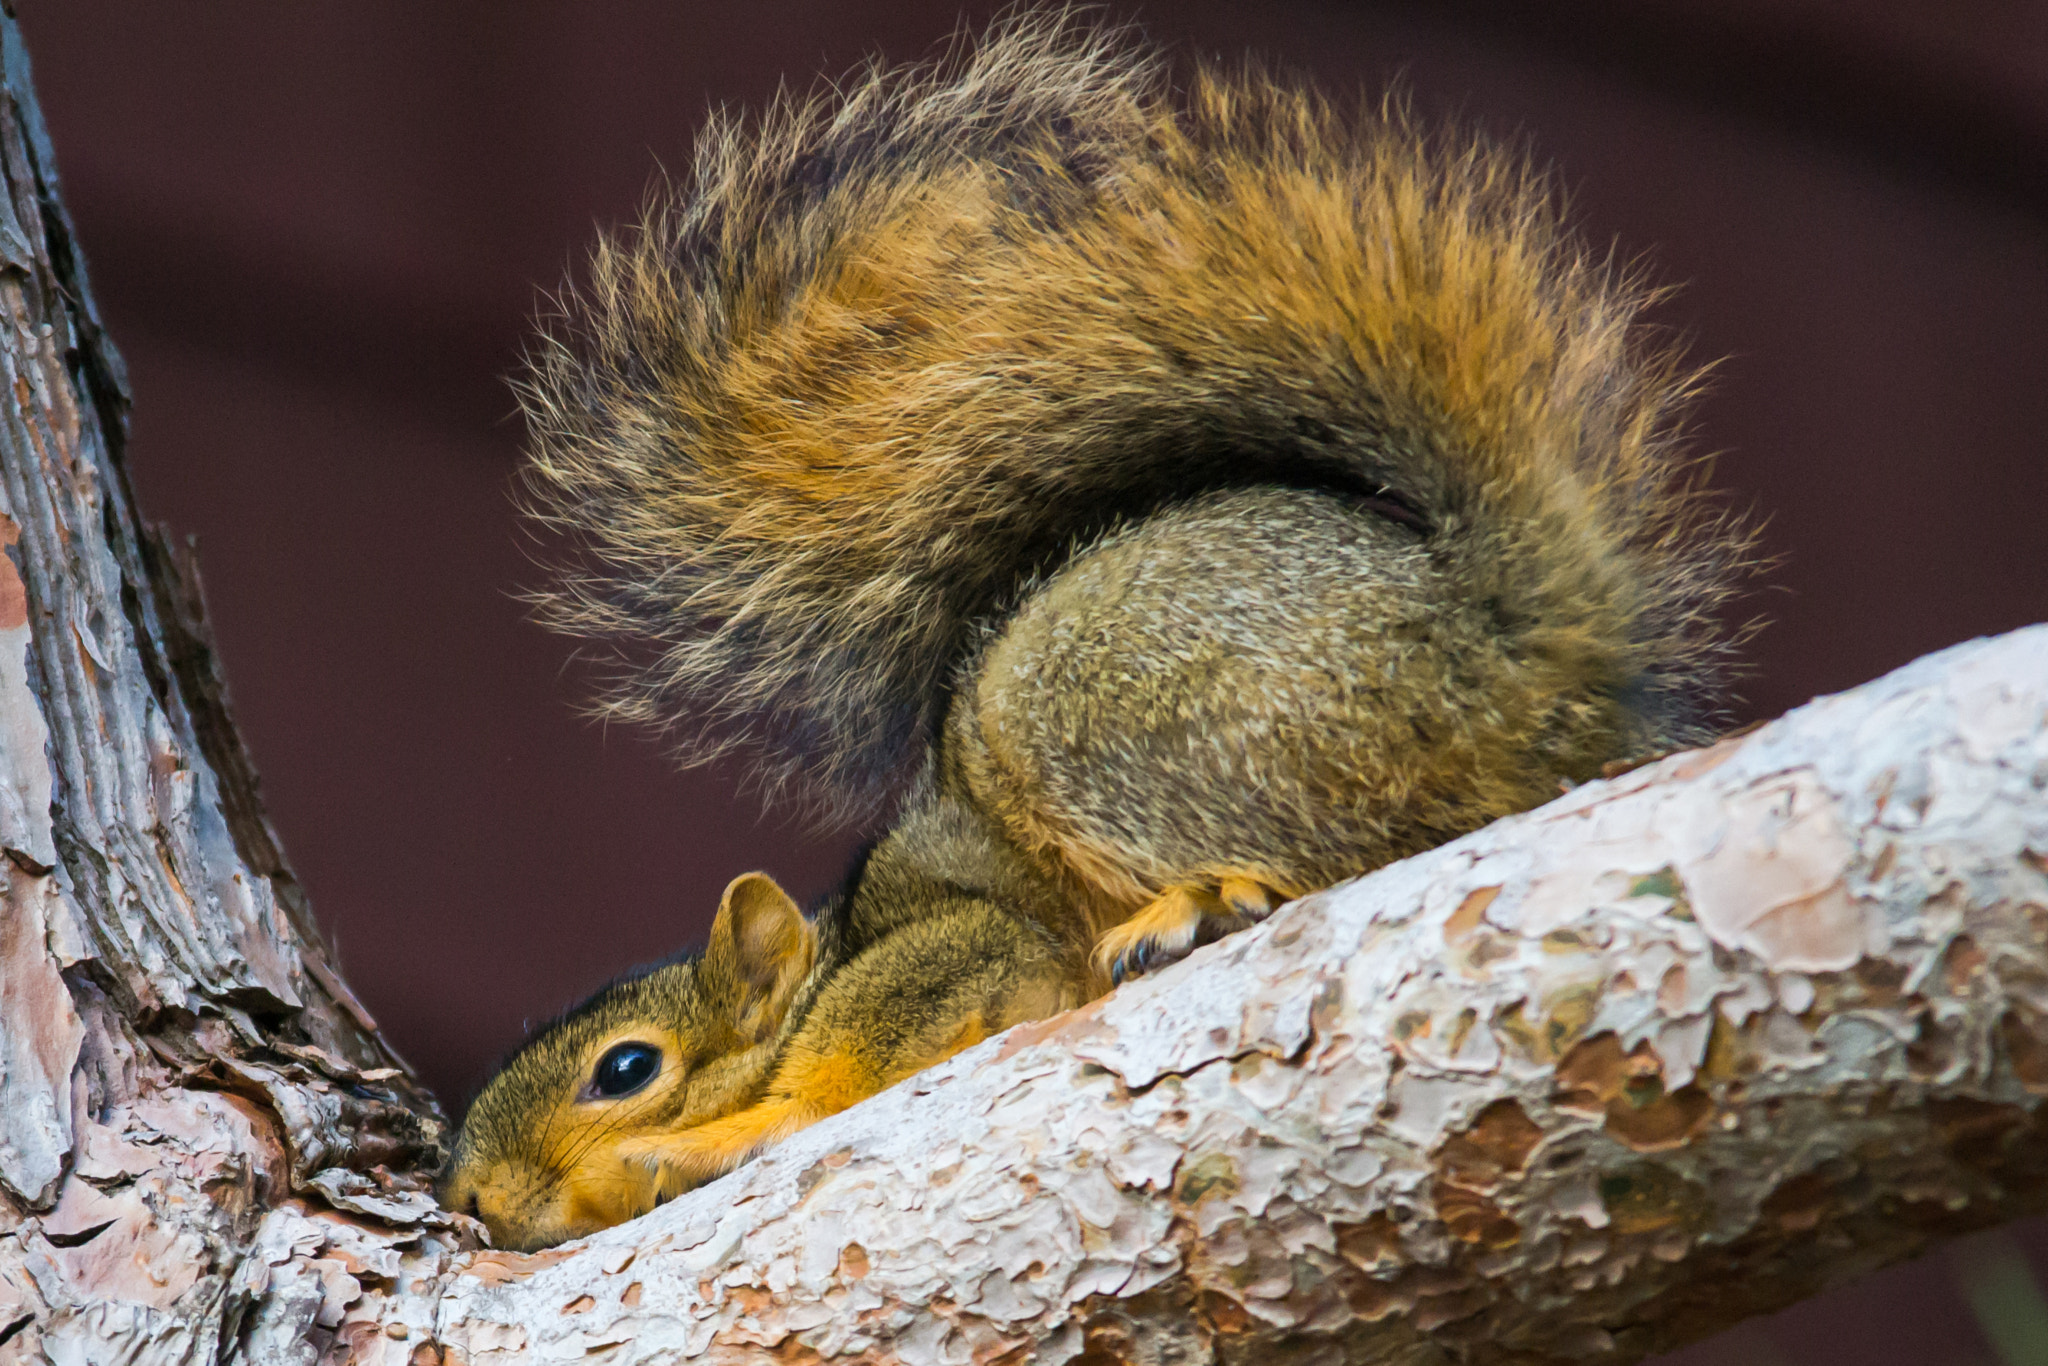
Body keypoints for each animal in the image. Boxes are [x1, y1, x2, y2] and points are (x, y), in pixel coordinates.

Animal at [439, 17, 1747, 1251]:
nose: (468, 1199)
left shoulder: (962, 946)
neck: (832, 940)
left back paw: (1204, 902)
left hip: (1105, 714)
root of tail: (1513, 660)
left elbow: (853, 1052)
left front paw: (722, 1131)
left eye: (624, 1069)